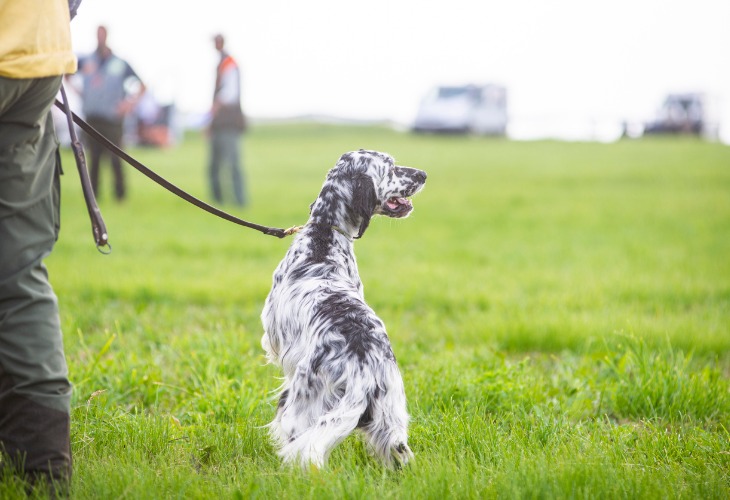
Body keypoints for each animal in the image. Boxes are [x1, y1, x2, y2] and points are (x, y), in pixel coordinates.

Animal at [260, 148, 426, 468]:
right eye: (390, 166)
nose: (423, 174)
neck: (323, 237)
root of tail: (367, 371)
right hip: (391, 418)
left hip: (301, 406)